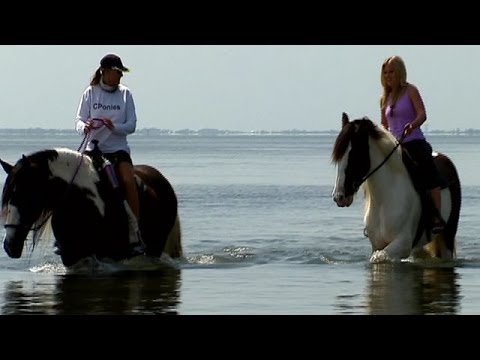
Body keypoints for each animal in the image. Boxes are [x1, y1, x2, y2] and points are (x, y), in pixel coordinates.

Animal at [330, 114, 462, 262]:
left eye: (355, 154)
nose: (339, 197)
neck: (384, 199)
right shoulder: (377, 244)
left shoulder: (402, 245)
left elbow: (380, 257)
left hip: (448, 235)